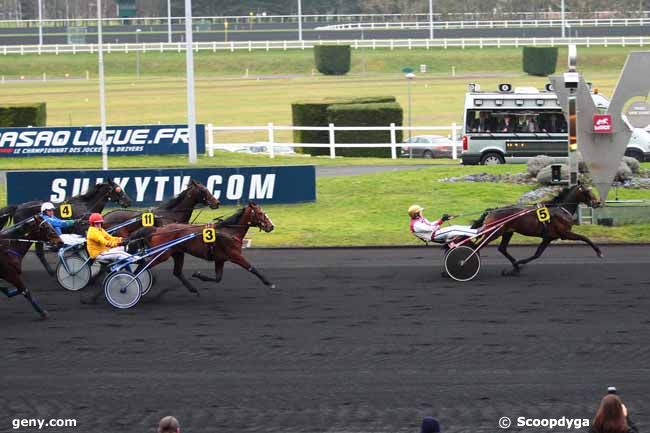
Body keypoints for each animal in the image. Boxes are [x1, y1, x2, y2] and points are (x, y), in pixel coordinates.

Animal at [0, 178, 132, 274]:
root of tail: (18, 207)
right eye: (118, 189)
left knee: (39, 252)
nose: (128, 201)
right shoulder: (80, 230)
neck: (85, 206)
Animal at [468, 184, 600, 276]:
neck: (561, 210)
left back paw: (515, 267)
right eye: (588, 191)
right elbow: (585, 238)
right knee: (477, 247)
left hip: (507, 232)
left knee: (502, 248)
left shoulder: (548, 237)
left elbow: (537, 255)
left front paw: (517, 266)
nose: (597, 203)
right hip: (494, 232)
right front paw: (599, 252)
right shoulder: (565, 233)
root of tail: (492, 210)